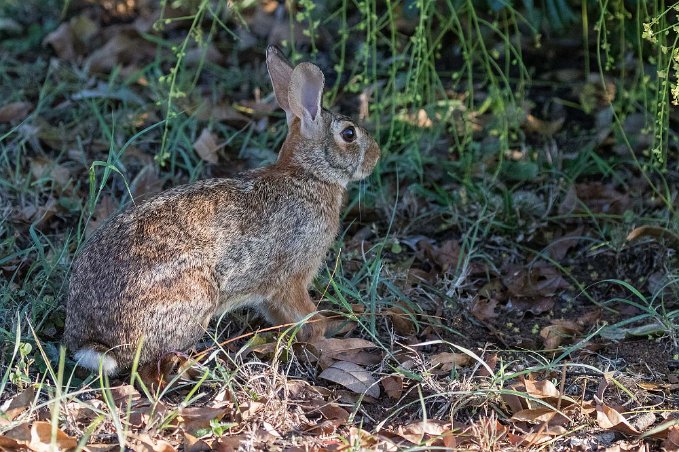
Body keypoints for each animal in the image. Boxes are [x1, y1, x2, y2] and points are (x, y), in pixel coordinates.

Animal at [62, 46, 382, 378]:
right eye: (349, 134)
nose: (376, 156)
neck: (308, 174)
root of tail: (94, 342)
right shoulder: (292, 276)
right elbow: (307, 317)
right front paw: (325, 336)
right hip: (195, 297)